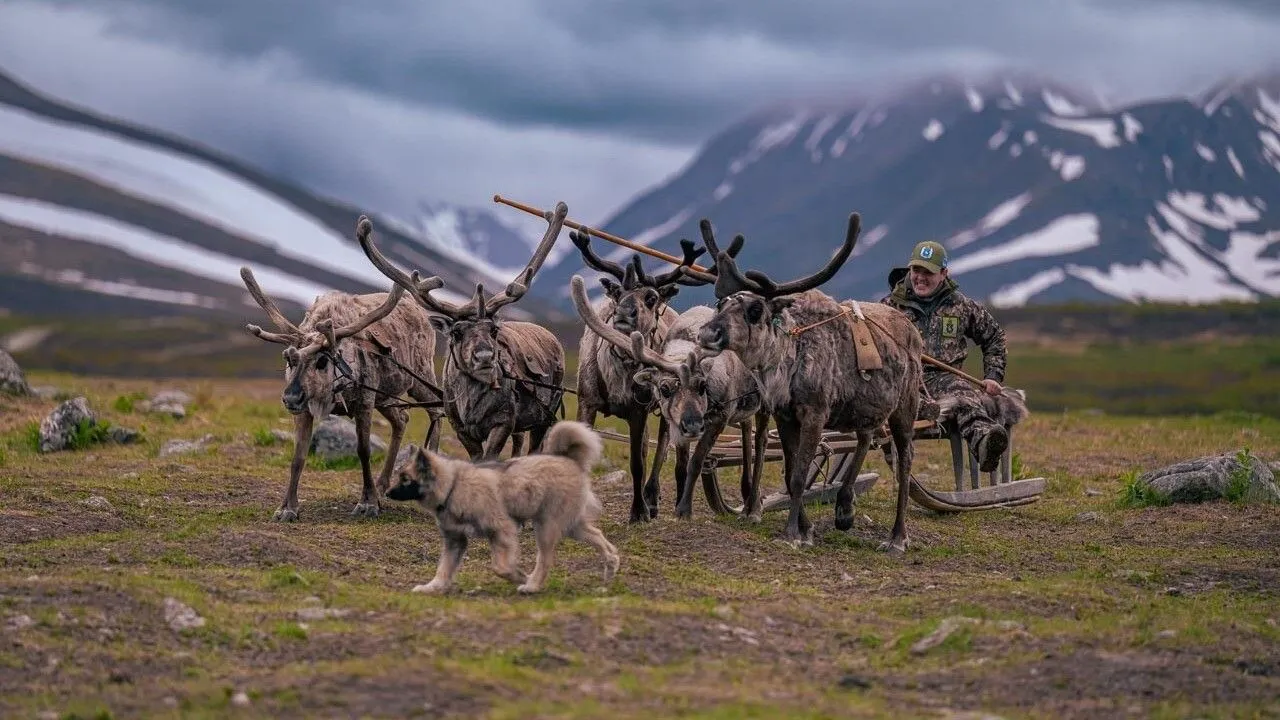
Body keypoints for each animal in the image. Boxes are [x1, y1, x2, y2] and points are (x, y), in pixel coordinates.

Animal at [384, 417, 619, 591]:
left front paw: (520, 576)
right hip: (571, 525)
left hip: (546, 526)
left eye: (405, 479)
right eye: (400, 476)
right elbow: (444, 568)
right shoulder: (455, 540)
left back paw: (532, 585)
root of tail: (569, 460)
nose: (386, 492)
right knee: (598, 537)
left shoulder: (502, 530)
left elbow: (499, 567)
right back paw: (611, 565)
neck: (453, 485)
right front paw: (432, 586)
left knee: (545, 559)